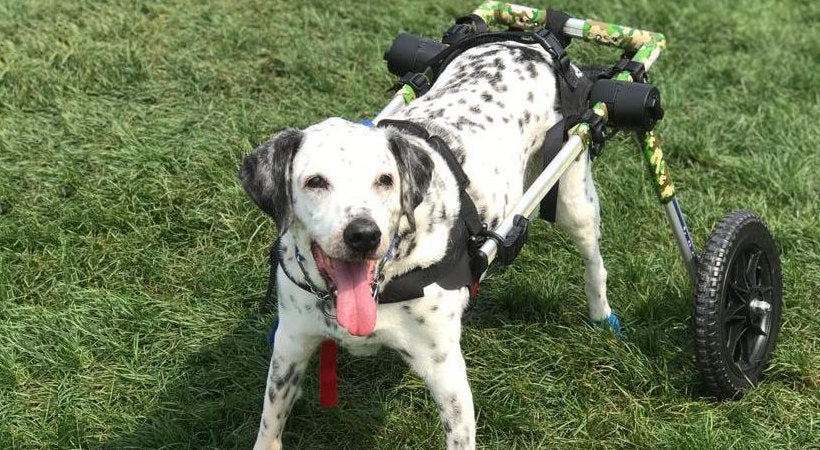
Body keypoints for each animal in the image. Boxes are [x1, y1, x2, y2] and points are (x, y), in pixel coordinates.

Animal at [239, 40, 616, 448]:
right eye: (315, 181)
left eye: (385, 179)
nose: (364, 234)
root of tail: (532, 43)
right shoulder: (290, 345)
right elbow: (269, 426)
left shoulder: (446, 373)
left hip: (572, 197)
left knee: (594, 261)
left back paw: (603, 316)